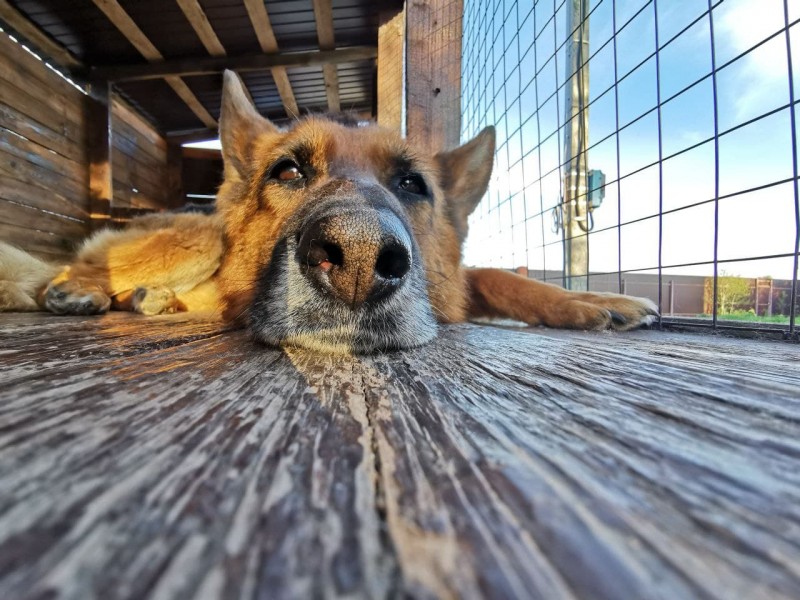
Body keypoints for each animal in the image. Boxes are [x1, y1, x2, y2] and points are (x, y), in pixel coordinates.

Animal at [0, 69, 656, 352]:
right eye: (287, 171)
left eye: (412, 183)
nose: (360, 259)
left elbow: (495, 275)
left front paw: (588, 300)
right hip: (201, 237)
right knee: (68, 270)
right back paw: (78, 290)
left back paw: (149, 300)